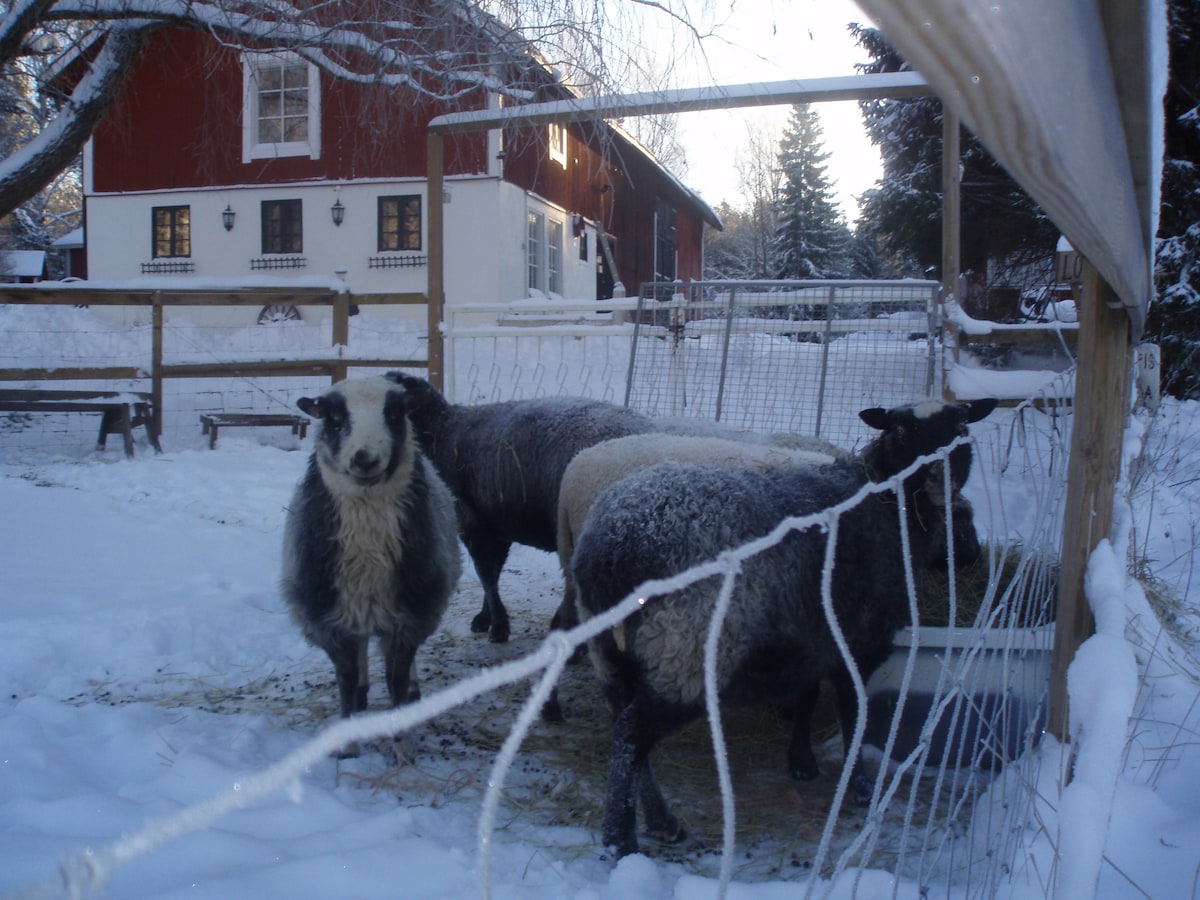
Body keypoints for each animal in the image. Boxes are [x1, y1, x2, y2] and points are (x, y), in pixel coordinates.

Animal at [566, 398, 998, 854]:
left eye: (961, 425)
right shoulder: (859, 641)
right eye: (899, 430)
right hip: (682, 651)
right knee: (631, 736)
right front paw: (860, 786)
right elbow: (853, 712)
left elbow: (808, 697)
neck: (885, 503)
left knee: (625, 729)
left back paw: (661, 821)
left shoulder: (811, 636)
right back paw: (620, 840)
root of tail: (613, 550)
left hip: (613, 655)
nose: (938, 476)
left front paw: (802, 761)